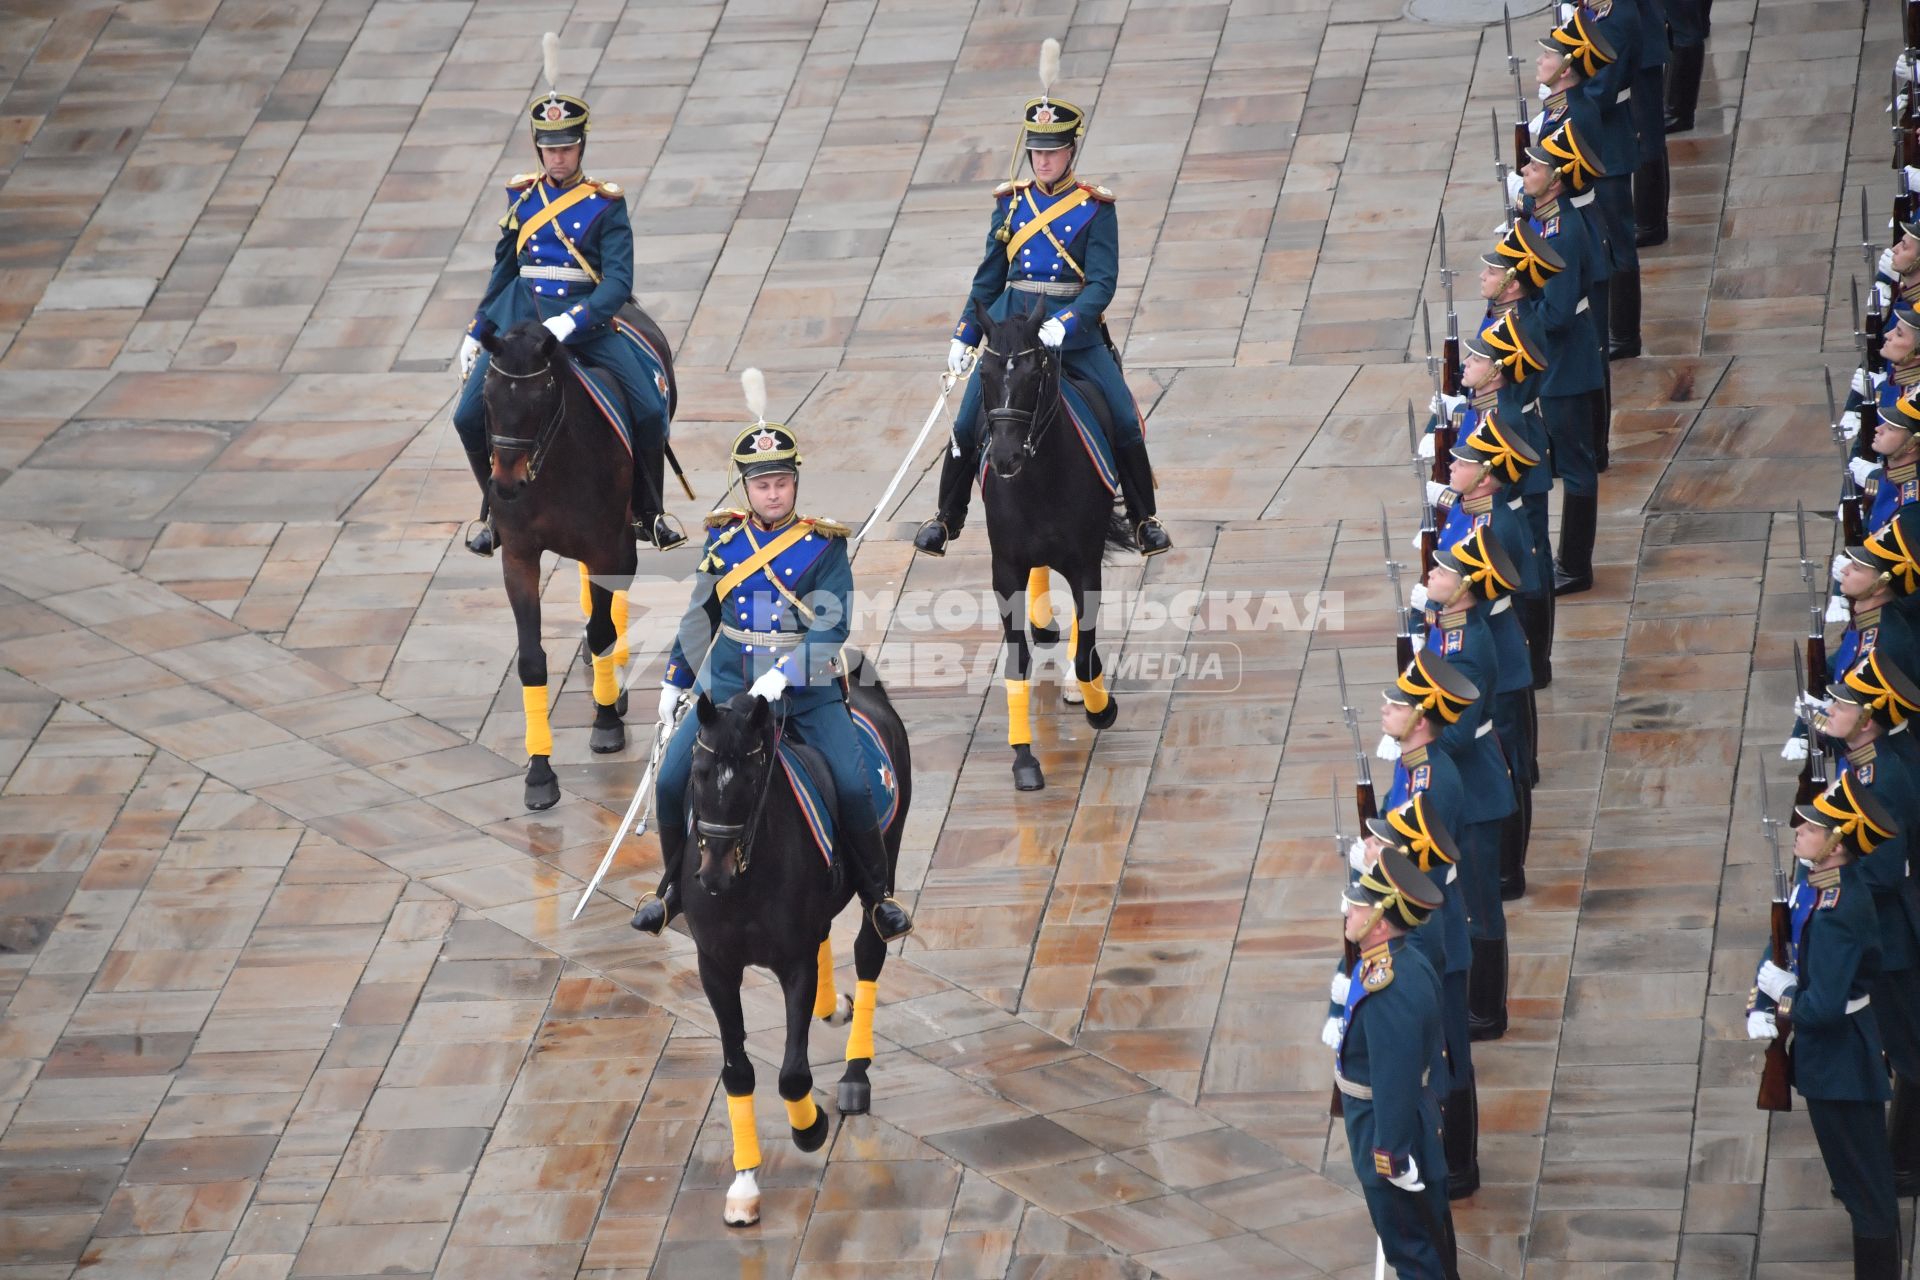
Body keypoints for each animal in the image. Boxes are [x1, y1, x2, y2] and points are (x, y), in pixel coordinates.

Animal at [480, 314, 668, 805]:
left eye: (541, 395)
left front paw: (606, 722)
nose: (504, 484)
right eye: (487, 395)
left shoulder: (606, 544)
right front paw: (539, 770)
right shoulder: (519, 557)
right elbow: (531, 659)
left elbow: (603, 629)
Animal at [679, 656, 910, 1228]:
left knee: (869, 949)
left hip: (884, 853)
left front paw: (809, 1128)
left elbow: (790, 1075)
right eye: (696, 774)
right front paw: (743, 1183)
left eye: (751, 779)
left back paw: (855, 1072)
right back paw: (834, 1008)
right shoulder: (715, 966)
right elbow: (737, 1072)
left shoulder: (795, 963)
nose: (712, 874)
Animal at [983, 305, 1128, 790]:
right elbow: (1017, 661)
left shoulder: (1085, 564)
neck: (1038, 482)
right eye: (983, 373)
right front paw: (1024, 759)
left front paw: (1100, 706)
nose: (1004, 457)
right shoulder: (1005, 570)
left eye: (1035, 375)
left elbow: (1085, 654)